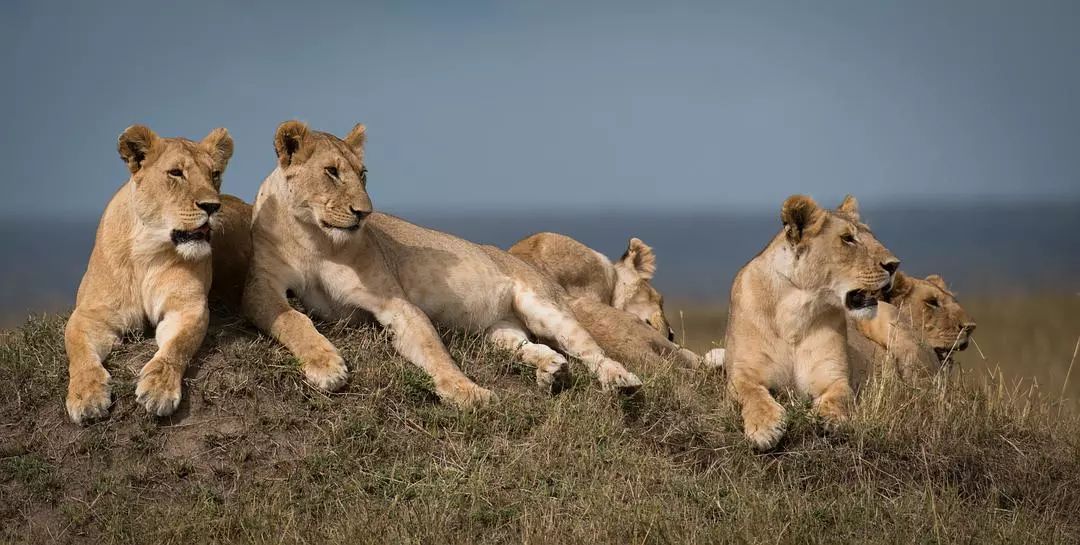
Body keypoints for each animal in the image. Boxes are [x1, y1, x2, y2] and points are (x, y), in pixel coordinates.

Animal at [243, 119, 639, 407]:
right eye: (331, 171)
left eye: (363, 173)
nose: (364, 213)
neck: (316, 239)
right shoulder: (259, 286)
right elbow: (293, 319)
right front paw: (325, 366)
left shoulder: (394, 303)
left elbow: (434, 351)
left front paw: (466, 392)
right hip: (499, 331)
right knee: (531, 346)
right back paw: (551, 370)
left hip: (543, 305)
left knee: (590, 349)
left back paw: (621, 380)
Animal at [725, 193, 902, 448]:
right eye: (848, 239)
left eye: (872, 236)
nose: (895, 265)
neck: (796, 309)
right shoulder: (742, 373)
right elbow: (752, 394)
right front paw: (764, 426)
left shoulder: (835, 378)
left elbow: (839, 397)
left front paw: (825, 418)